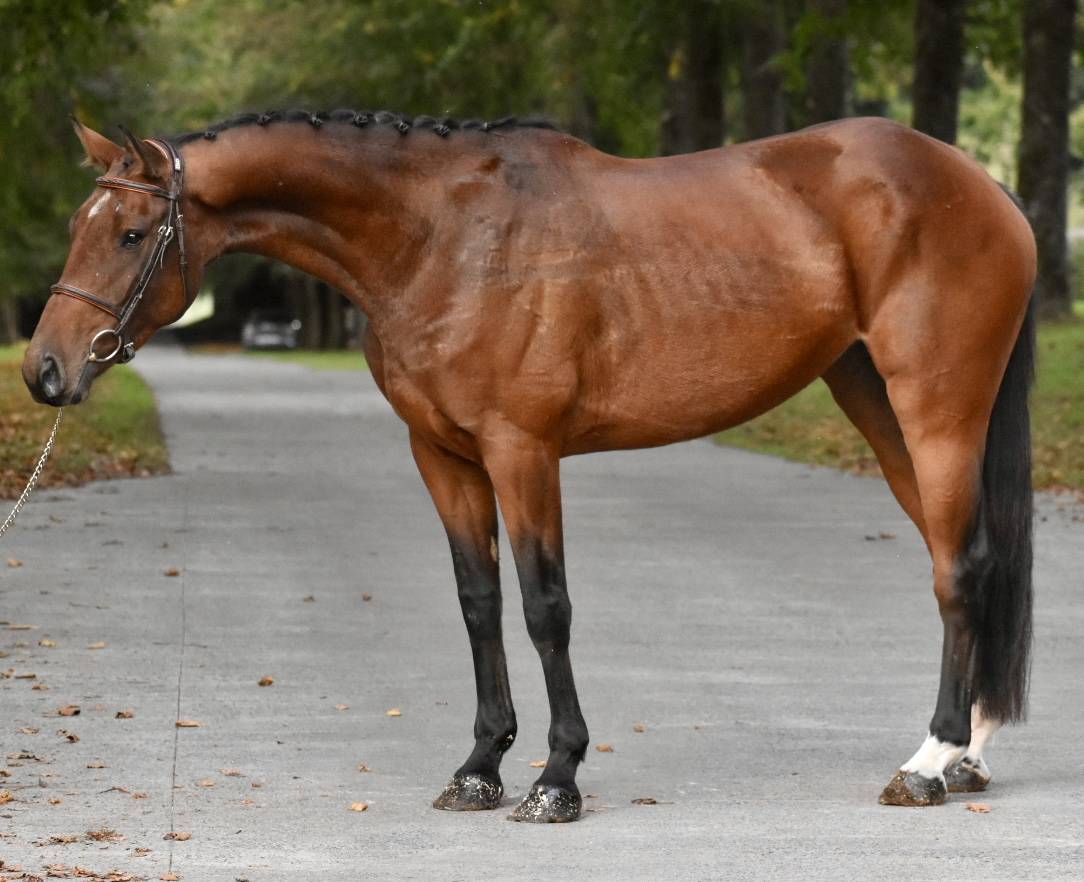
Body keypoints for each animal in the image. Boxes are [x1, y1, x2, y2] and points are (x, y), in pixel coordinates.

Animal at [23, 110, 1036, 822]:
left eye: (128, 233)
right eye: (79, 223)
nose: (44, 371)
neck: (440, 238)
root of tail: (981, 186)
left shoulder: (523, 450)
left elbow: (547, 607)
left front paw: (557, 778)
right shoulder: (443, 455)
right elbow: (480, 602)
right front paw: (480, 769)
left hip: (937, 410)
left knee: (959, 569)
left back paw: (928, 763)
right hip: (875, 403)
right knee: (964, 562)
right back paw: (968, 754)